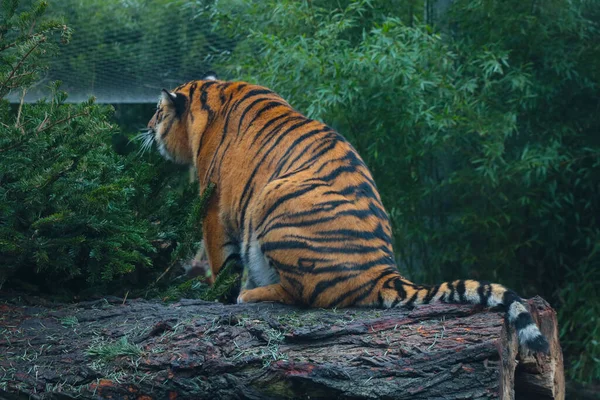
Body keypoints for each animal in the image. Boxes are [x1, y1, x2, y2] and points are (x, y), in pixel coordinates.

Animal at [145, 72, 548, 354]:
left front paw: (215, 293)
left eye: (157, 111)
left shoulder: (213, 206)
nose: (147, 128)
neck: (211, 98)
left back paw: (251, 295)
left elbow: (219, 258)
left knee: (303, 296)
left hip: (273, 198)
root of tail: (384, 273)